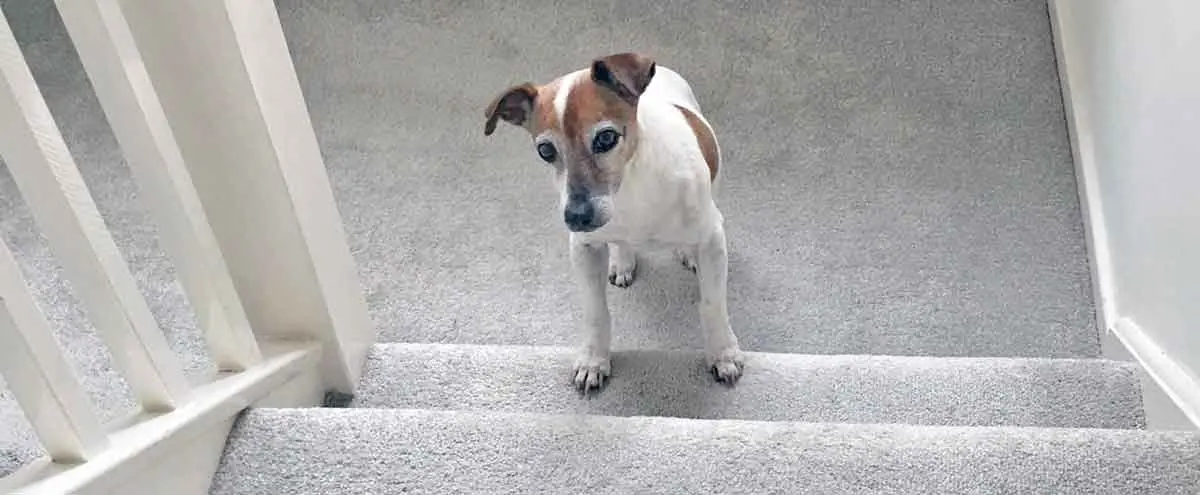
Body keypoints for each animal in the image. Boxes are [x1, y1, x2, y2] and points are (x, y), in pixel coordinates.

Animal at [482, 50, 744, 391]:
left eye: (606, 138)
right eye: (545, 150)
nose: (576, 217)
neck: (630, 189)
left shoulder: (712, 239)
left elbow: (712, 304)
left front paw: (723, 354)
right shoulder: (584, 249)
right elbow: (596, 312)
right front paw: (594, 359)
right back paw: (622, 261)